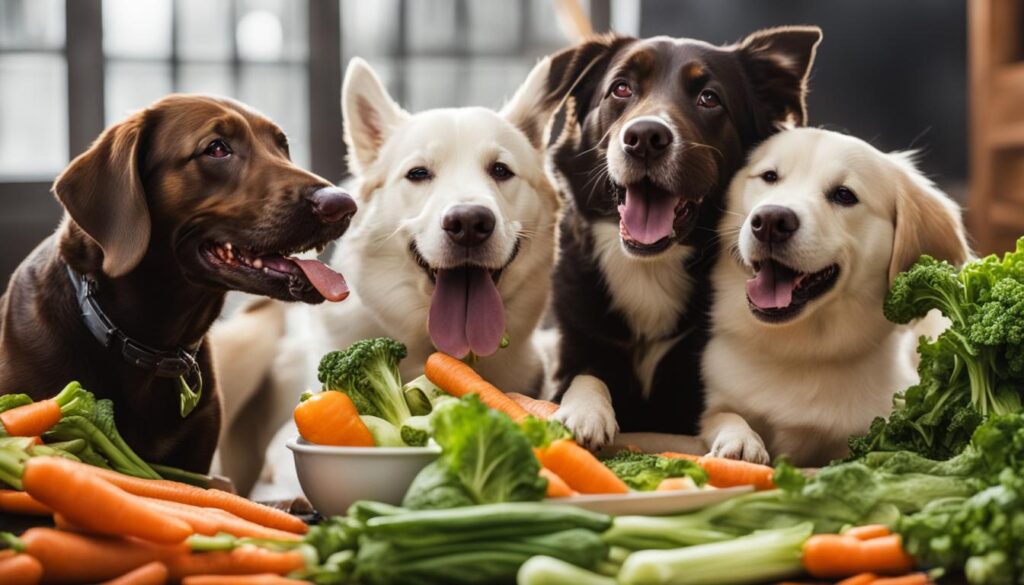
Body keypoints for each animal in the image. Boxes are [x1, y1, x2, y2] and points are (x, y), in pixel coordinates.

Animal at [544, 26, 823, 448]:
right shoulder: (575, 350)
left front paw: (740, 437)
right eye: (621, 88)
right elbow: (586, 377)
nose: (644, 137)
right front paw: (585, 412)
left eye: (709, 98)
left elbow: (720, 412)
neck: (650, 266)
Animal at [700, 128, 970, 467]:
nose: (771, 221)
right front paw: (741, 441)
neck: (802, 350)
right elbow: (724, 415)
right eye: (769, 176)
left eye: (844, 195)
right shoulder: (718, 400)